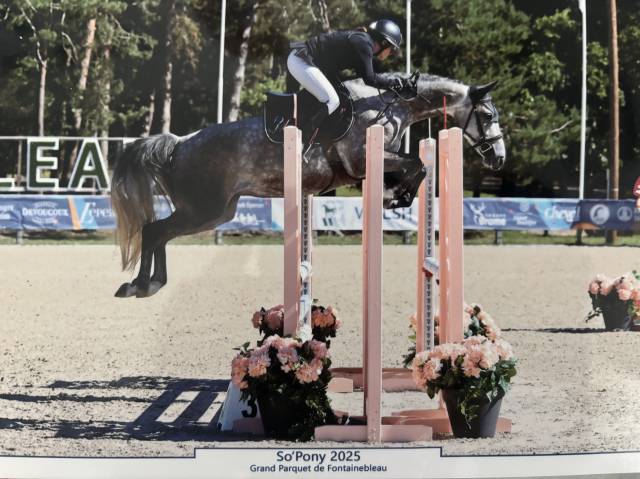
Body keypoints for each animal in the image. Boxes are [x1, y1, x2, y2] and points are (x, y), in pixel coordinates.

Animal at [111, 73, 506, 298]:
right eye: (487, 116)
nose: (499, 159)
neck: (386, 103)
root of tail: (179, 143)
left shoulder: (371, 166)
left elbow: (414, 167)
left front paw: (398, 196)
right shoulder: (363, 160)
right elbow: (417, 164)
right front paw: (400, 197)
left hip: (217, 212)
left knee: (159, 233)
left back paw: (149, 284)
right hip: (203, 210)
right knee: (153, 231)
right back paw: (140, 285)